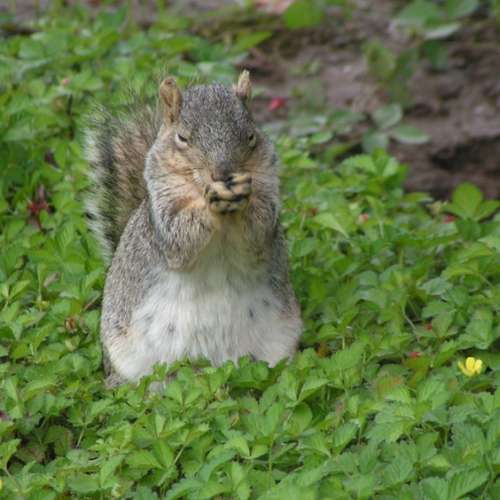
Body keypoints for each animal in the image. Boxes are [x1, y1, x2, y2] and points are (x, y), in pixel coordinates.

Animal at [85, 71, 303, 387]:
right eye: (183, 138)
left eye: (251, 136)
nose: (223, 174)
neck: (225, 218)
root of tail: (212, 367)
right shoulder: (163, 217)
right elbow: (180, 237)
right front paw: (209, 203)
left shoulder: (268, 198)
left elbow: (258, 234)